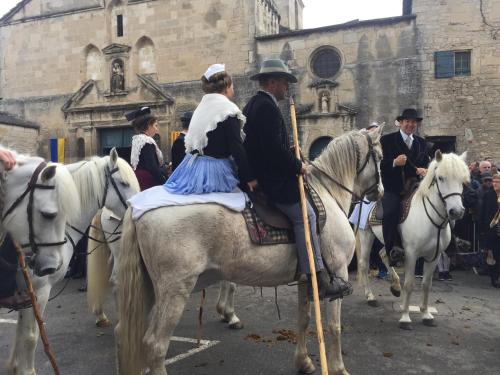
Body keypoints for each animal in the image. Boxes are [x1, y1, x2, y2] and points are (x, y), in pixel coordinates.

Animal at [116, 128, 382, 374]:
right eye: (379, 156)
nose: (379, 192)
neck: (328, 194)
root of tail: (136, 208)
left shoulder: (308, 278)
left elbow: (304, 319)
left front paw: (304, 362)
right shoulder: (338, 271)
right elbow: (334, 327)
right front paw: (338, 368)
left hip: (149, 288)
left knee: (130, 335)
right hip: (174, 290)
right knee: (155, 344)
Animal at [360, 151, 468, 330]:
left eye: (463, 181)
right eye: (440, 178)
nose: (456, 212)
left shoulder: (433, 256)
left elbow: (426, 285)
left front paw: (426, 314)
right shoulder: (411, 254)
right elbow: (410, 285)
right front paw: (405, 317)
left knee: (384, 254)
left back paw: (395, 287)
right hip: (366, 235)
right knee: (364, 263)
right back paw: (370, 296)